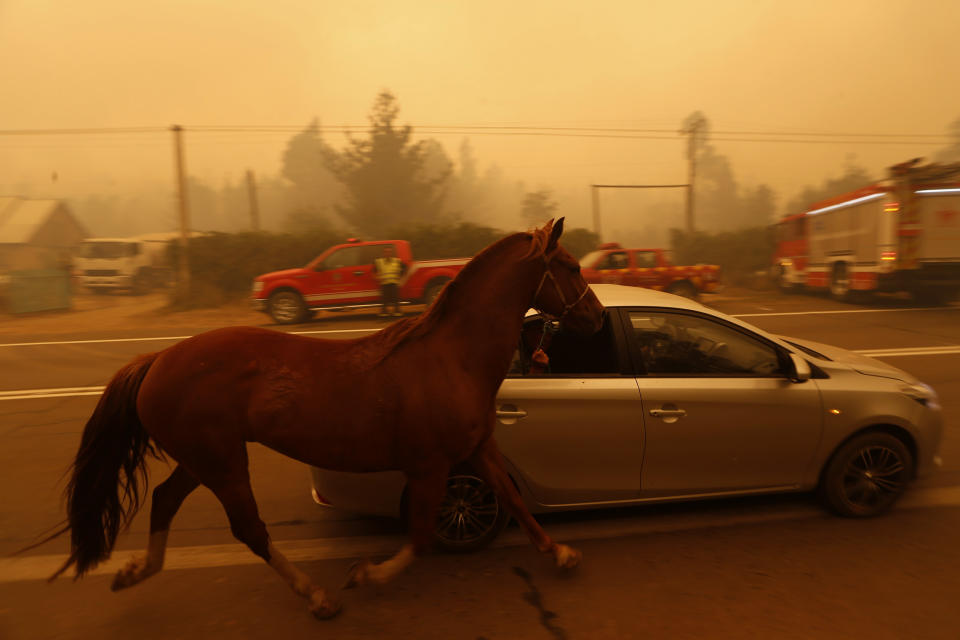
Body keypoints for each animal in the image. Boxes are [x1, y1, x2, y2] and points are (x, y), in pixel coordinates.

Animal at [48, 216, 604, 620]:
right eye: (572, 266)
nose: (597, 317)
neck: (452, 357)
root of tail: (158, 360)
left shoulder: (478, 446)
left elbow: (513, 498)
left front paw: (561, 553)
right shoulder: (429, 465)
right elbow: (421, 536)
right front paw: (367, 575)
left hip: (202, 460)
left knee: (164, 500)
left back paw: (137, 569)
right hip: (223, 463)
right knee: (250, 530)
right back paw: (316, 596)